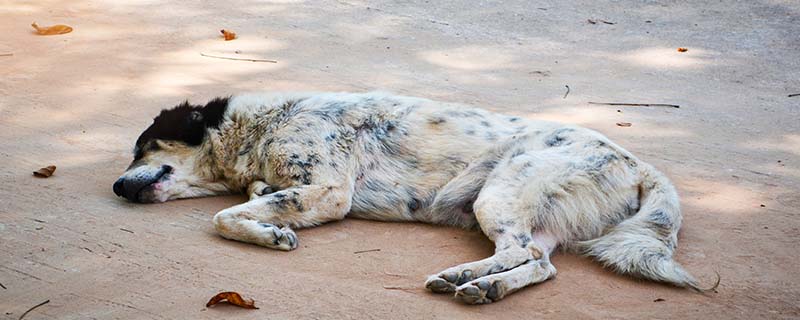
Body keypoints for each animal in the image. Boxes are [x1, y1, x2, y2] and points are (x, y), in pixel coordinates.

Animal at [114, 91, 720, 304]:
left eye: (143, 147)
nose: (117, 186)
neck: (263, 126)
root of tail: (639, 164)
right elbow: (253, 198)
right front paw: (267, 214)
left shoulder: (329, 191)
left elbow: (223, 216)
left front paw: (270, 231)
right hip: (529, 215)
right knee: (539, 263)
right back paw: (480, 285)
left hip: (500, 193)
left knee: (522, 253)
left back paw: (468, 279)